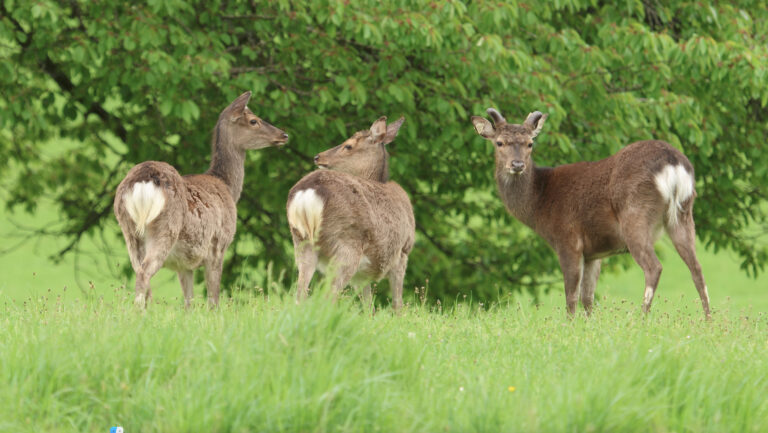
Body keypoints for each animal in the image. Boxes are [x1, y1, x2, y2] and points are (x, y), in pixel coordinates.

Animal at [115, 91, 290, 308]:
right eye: (253, 120)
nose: (284, 135)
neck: (227, 187)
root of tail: (142, 182)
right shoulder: (218, 246)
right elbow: (213, 301)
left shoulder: (185, 264)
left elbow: (188, 303)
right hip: (166, 228)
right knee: (144, 272)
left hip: (129, 231)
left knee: (139, 271)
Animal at [284, 115, 414, 310]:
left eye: (348, 145)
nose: (317, 157)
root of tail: (308, 192)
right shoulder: (403, 251)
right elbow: (397, 304)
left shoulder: (363, 275)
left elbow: (368, 305)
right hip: (347, 244)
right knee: (328, 296)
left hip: (301, 240)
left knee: (300, 293)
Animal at [472, 108, 712, 318]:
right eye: (499, 142)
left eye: (530, 143)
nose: (517, 164)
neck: (539, 203)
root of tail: (674, 163)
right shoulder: (594, 253)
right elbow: (587, 297)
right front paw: (590, 324)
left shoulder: (568, 240)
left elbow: (571, 295)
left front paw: (569, 325)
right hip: (684, 213)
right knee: (697, 269)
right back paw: (708, 320)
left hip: (636, 214)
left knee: (654, 267)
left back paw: (640, 318)